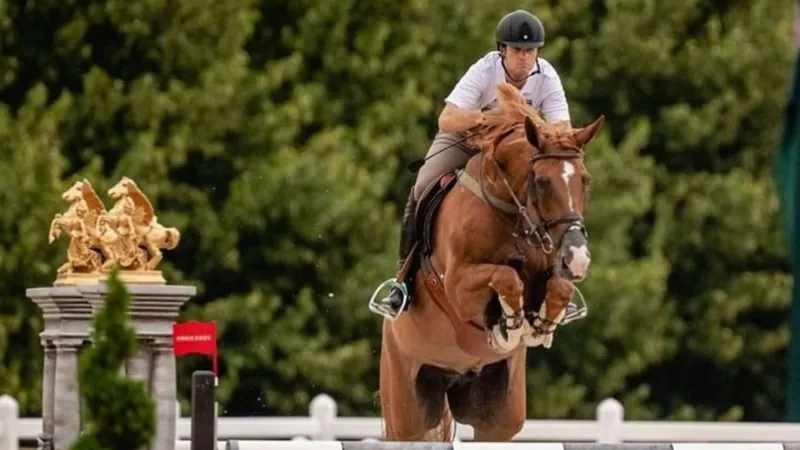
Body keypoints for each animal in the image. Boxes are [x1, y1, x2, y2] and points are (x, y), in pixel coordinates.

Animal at [378, 81, 604, 442]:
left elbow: (559, 288)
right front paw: (510, 325)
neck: (511, 211)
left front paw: (539, 326)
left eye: (585, 180)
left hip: (497, 415)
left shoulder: (550, 268)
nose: (578, 259)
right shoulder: (458, 285)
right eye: (542, 181)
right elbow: (506, 277)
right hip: (405, 410)